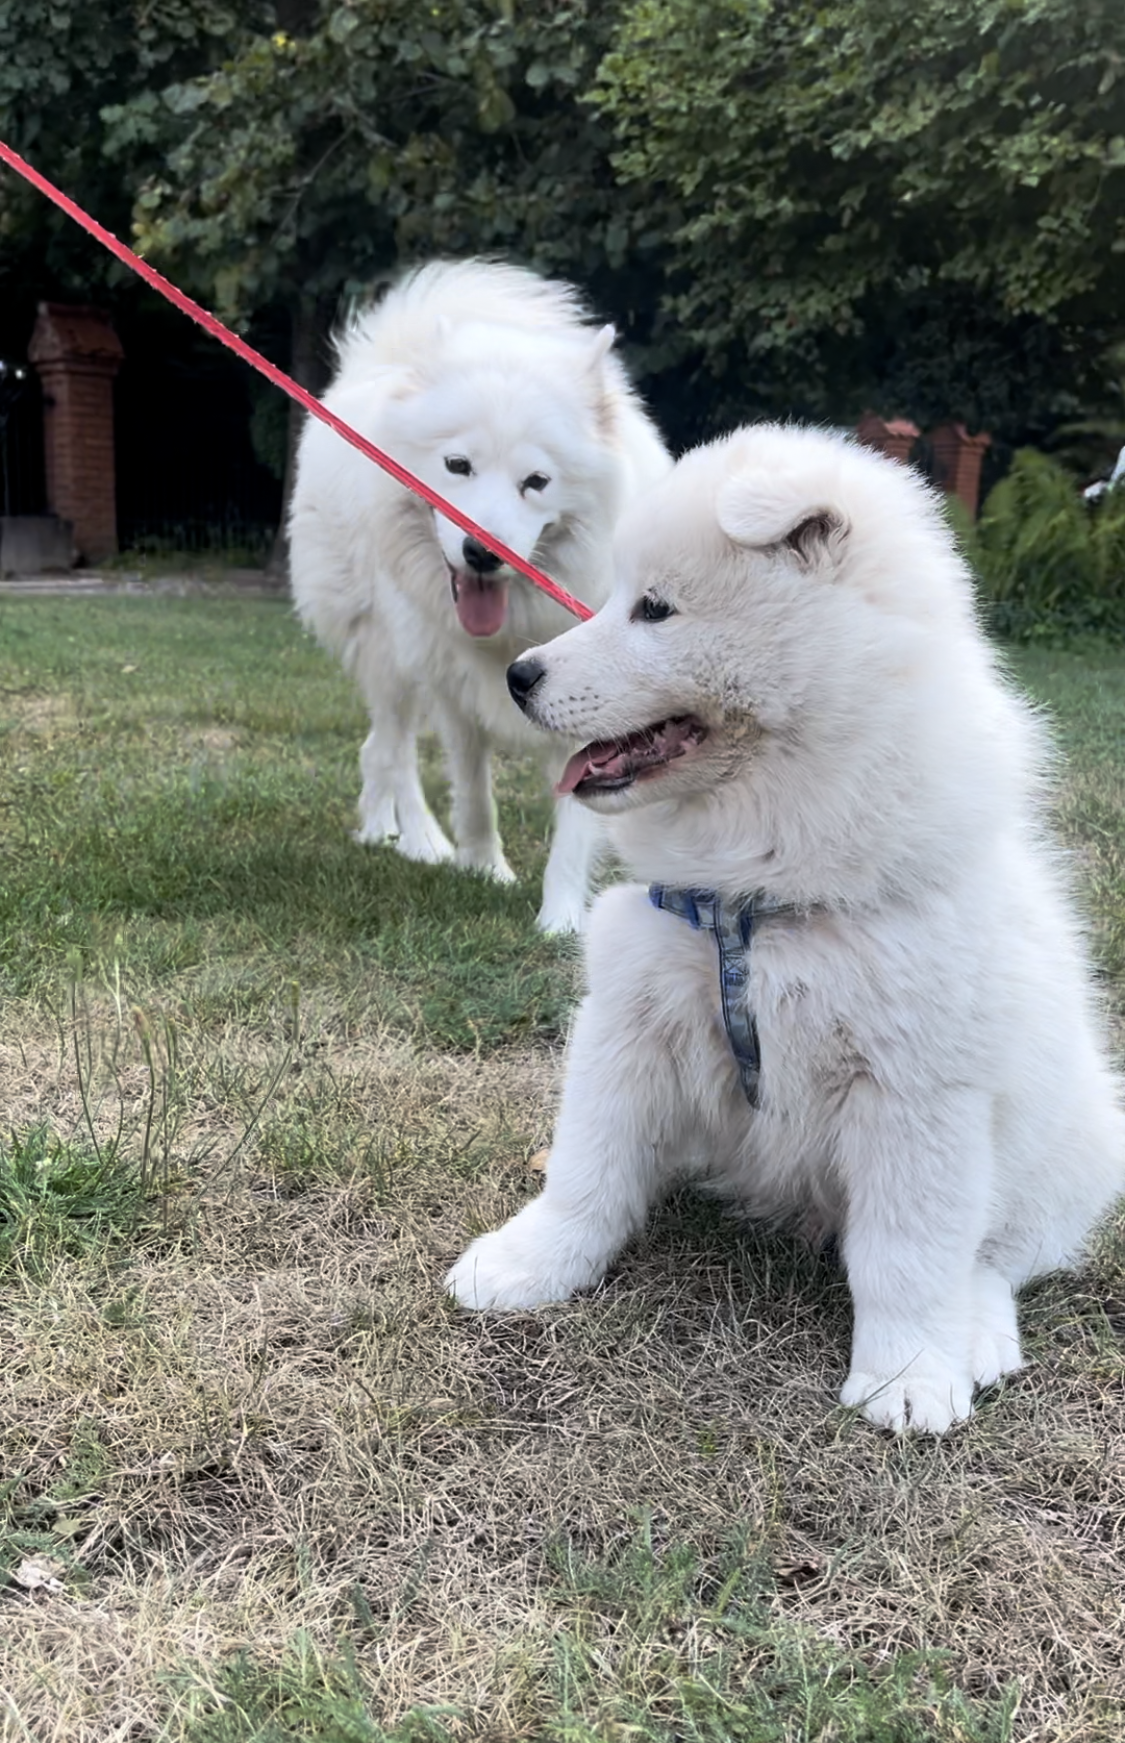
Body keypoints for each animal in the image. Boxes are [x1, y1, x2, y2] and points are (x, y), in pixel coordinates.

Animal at [291, 257, 676, 934]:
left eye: (537, 481)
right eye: (456, 465)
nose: (481, 552)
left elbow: (576, 826)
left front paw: (560, 922)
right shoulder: (451, 687)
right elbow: (473, 792)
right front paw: (481, 867)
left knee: (376, 749)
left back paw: (379, 830)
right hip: (392, 656)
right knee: (391, 750)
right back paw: (417, 841)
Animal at [446, 418, 1123, 1429]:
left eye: (655, 609)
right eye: (612, 597)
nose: (521, 676)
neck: (754, 895)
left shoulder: (915, 1090)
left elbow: (910, 1250)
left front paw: (906, 1373)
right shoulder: (628, 1026)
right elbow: (586, 1170)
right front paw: (529, 1264)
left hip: (1061, 1144)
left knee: (997, 1255)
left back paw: (975, 1336)